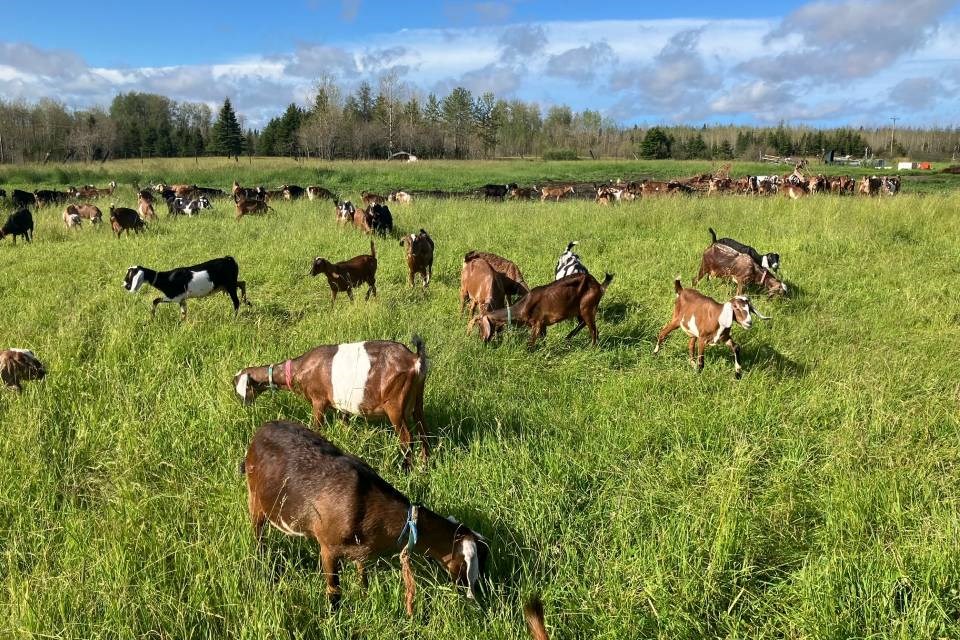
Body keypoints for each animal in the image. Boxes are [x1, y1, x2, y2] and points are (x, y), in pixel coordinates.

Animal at [123, 252, 251, 318]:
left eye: (129, 275)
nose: (124, 285)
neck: (166, 278)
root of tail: (229, 260)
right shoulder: (182, 300)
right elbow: (184, 313)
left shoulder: (174, 297)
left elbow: (155, 300)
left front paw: (153, 315)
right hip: (228, 284)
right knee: (242, 283)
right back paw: (247, 301)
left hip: (230, 285)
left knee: (236, 302)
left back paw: (234, 317)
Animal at [472, 272, 616, 348]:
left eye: (479, 325)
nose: (482, 341)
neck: (521, 307)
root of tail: (599, 285)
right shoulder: (543, 326)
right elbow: (543, 340)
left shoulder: (537, 323)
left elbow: (530, 344)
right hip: (578, 309)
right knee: (583, 323)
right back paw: (568, 337)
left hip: (587, 307)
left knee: (593, 330)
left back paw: (592, 347)